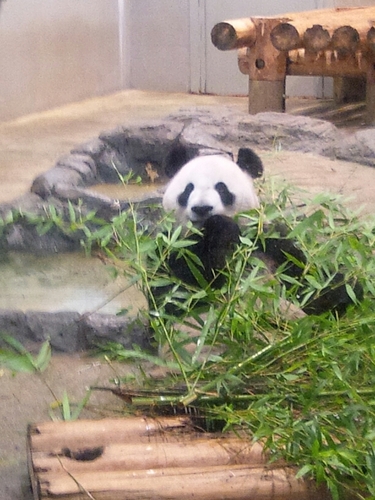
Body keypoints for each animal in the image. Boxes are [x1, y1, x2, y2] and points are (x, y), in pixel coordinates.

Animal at [157, 145, 362, 316]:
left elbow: (308, 282)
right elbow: (177, 293)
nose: (202, 208)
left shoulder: (270, 242)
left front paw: (343, 291)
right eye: (188, 189)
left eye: (222, 189)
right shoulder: (169, 246)